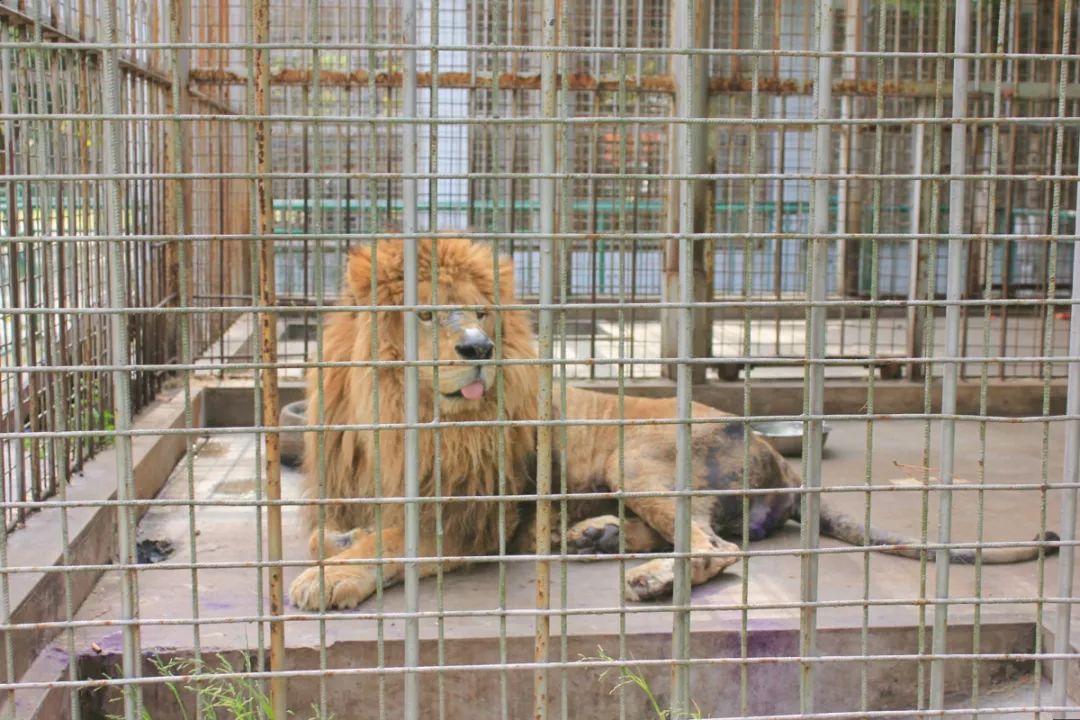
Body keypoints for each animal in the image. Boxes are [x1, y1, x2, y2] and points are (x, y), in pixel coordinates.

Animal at [287, 239, 1054, 613]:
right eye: (426, 313)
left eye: (479, 313)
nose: (478, 349)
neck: (405, 413)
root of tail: (784, 461)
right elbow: (345, 530)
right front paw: (338, 549)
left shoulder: (471, 514)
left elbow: (397, 543)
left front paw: (330, 577)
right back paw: (592, 536)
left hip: (638, 454)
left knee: (713, 545)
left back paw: (647, 575)